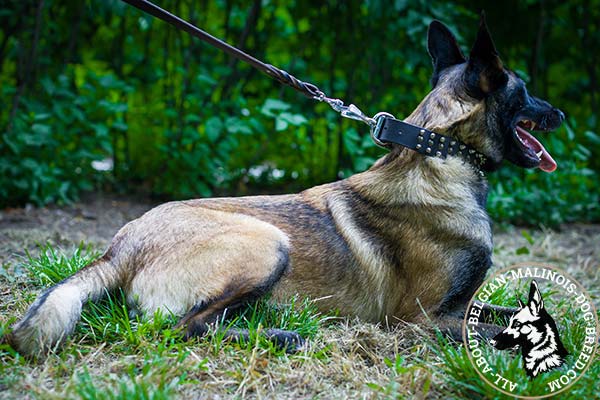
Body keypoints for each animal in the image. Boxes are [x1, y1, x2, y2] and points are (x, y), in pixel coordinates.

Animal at [7, 15, 564, 356]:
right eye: (526, 91)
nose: (559, 114)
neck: (440, 156)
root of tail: (119, 247)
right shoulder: (423, 321)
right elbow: (491, 330)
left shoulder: (461, 306)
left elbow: (521, 313)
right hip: (267, 242)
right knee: (178, 328)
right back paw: (279, 334)